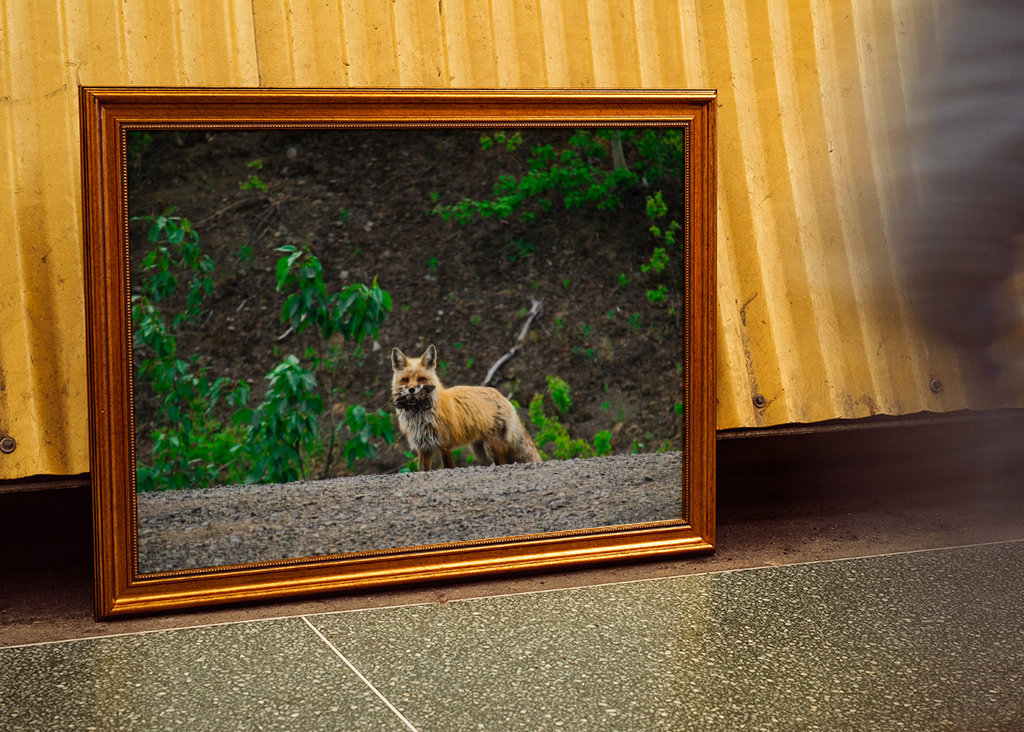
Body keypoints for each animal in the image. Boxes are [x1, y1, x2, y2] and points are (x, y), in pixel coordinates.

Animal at [391, 344, 541, 471]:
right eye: (405, 379)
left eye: (421, 379)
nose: (411, 390)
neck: (421, 417)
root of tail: (503, 397)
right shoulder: (424, 448)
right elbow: (422, 470)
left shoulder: (445, 445)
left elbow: (448, 467)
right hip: (480, 452)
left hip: (493, 448)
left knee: (503, 463)